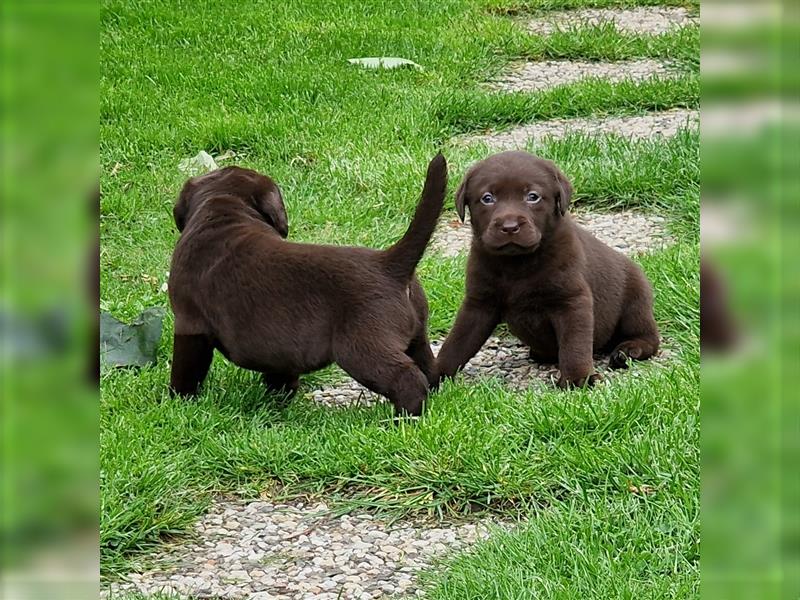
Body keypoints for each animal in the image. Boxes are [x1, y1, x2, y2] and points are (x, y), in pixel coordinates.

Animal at [168, 156, 446, 418]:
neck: (222, 211)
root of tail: (390, 264)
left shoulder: (190, 325)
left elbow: (186, 371)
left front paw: (178, 402)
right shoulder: (277, 346)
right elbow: (280, 376)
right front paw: (274, 404)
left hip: (362, 346)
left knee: (407, 378)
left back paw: (401, 420)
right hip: (417, 336)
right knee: (429, 370)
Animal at [438, 151, 656, 390]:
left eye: (532, 197)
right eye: (487, 198)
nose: (510, 227)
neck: (516, 264)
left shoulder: (572, 301)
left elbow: (574, 344)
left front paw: (578, 379)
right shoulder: (479, 304)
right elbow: (457, 343)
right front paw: (434, 375)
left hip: (635, 303)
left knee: (648, 336)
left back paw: (628, 351)